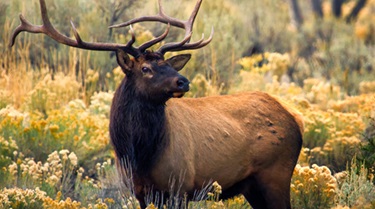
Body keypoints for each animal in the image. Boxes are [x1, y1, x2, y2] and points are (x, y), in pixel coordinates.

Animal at [11, 0, 306, 209]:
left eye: (167, 64)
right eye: (145, 68)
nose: (183, 81)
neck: (140, 154)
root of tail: (297, 120)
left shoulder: (181, 187)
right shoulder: (141, 192)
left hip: (276, 175)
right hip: (254, 186)